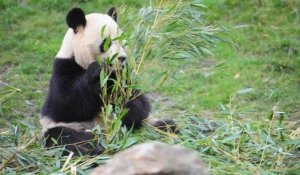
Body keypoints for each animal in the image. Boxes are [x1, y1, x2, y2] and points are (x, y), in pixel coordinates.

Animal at [39, 7, 176, 157]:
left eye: (123, 43)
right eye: (106, 43)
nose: (121, 58)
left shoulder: (125, 77)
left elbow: (139, 105)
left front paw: (123, 102)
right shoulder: (63, 68)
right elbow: (66, 104)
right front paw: (97, 70)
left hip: (145, 124)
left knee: (162, 125)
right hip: (69, 127)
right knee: (66, 138)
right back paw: (94, 146)